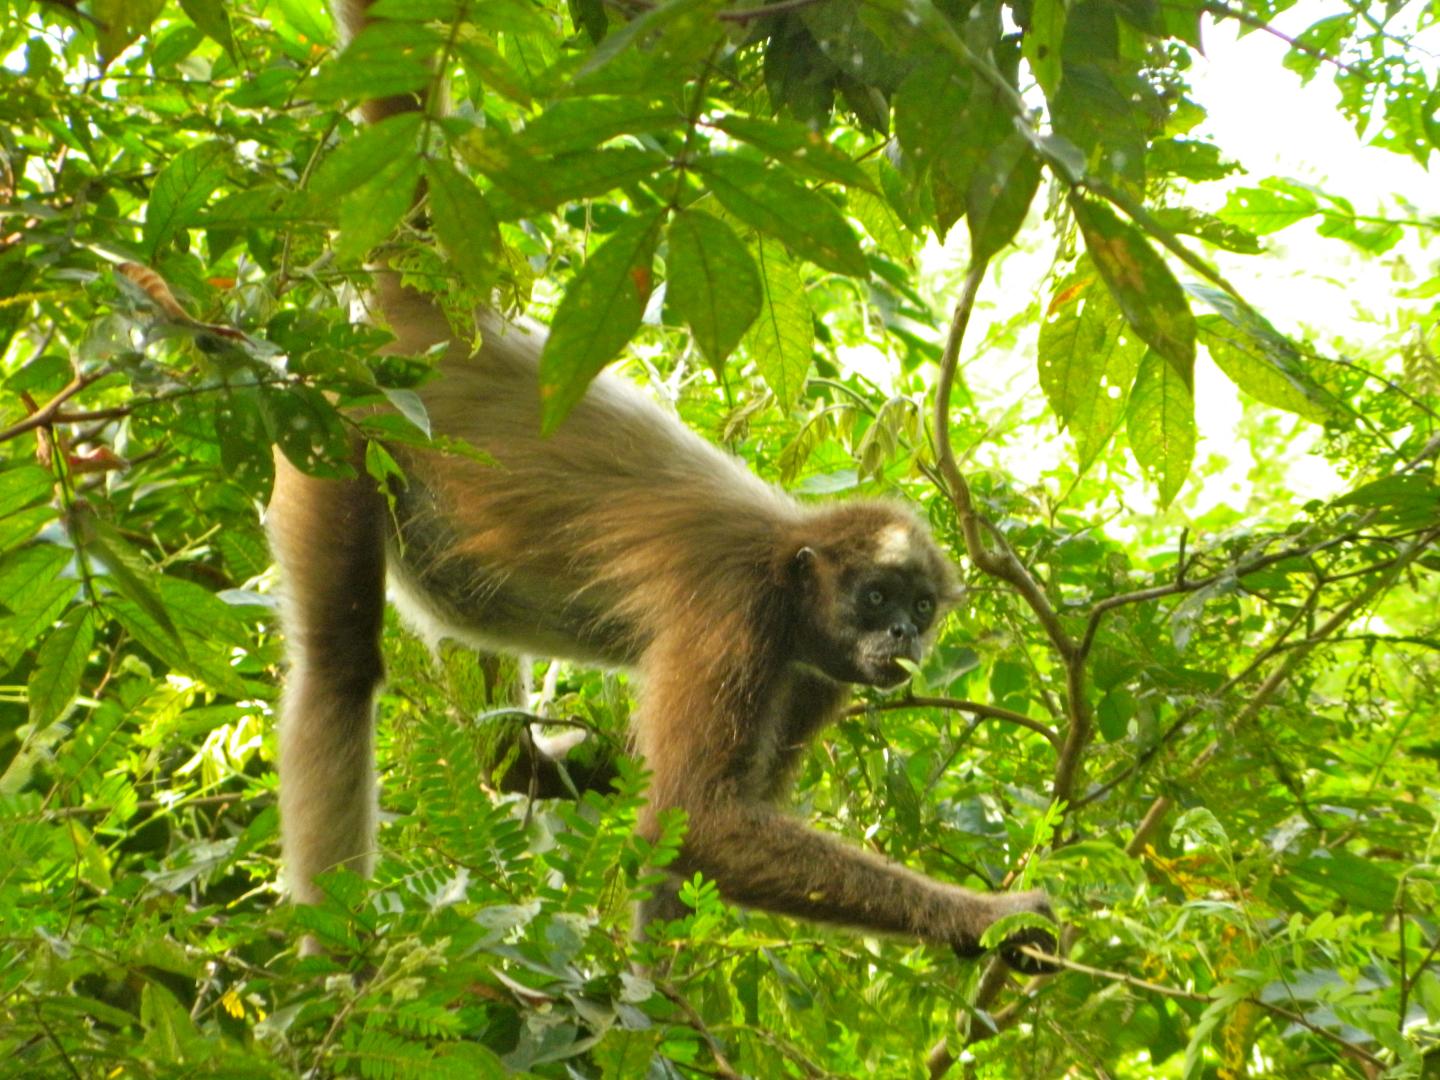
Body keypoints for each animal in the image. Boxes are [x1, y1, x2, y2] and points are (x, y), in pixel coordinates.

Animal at [268, 0, 1055, 973]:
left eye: (918, 609)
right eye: (876, 596)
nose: (903, 633)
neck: (791, 566)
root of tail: (452, 322)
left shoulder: (818, 672)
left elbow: (685, 846)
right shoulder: (738, 611)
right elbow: (702, 821)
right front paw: (994, 920)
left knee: (493, 735)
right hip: (335, 421)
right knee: (341, 665)